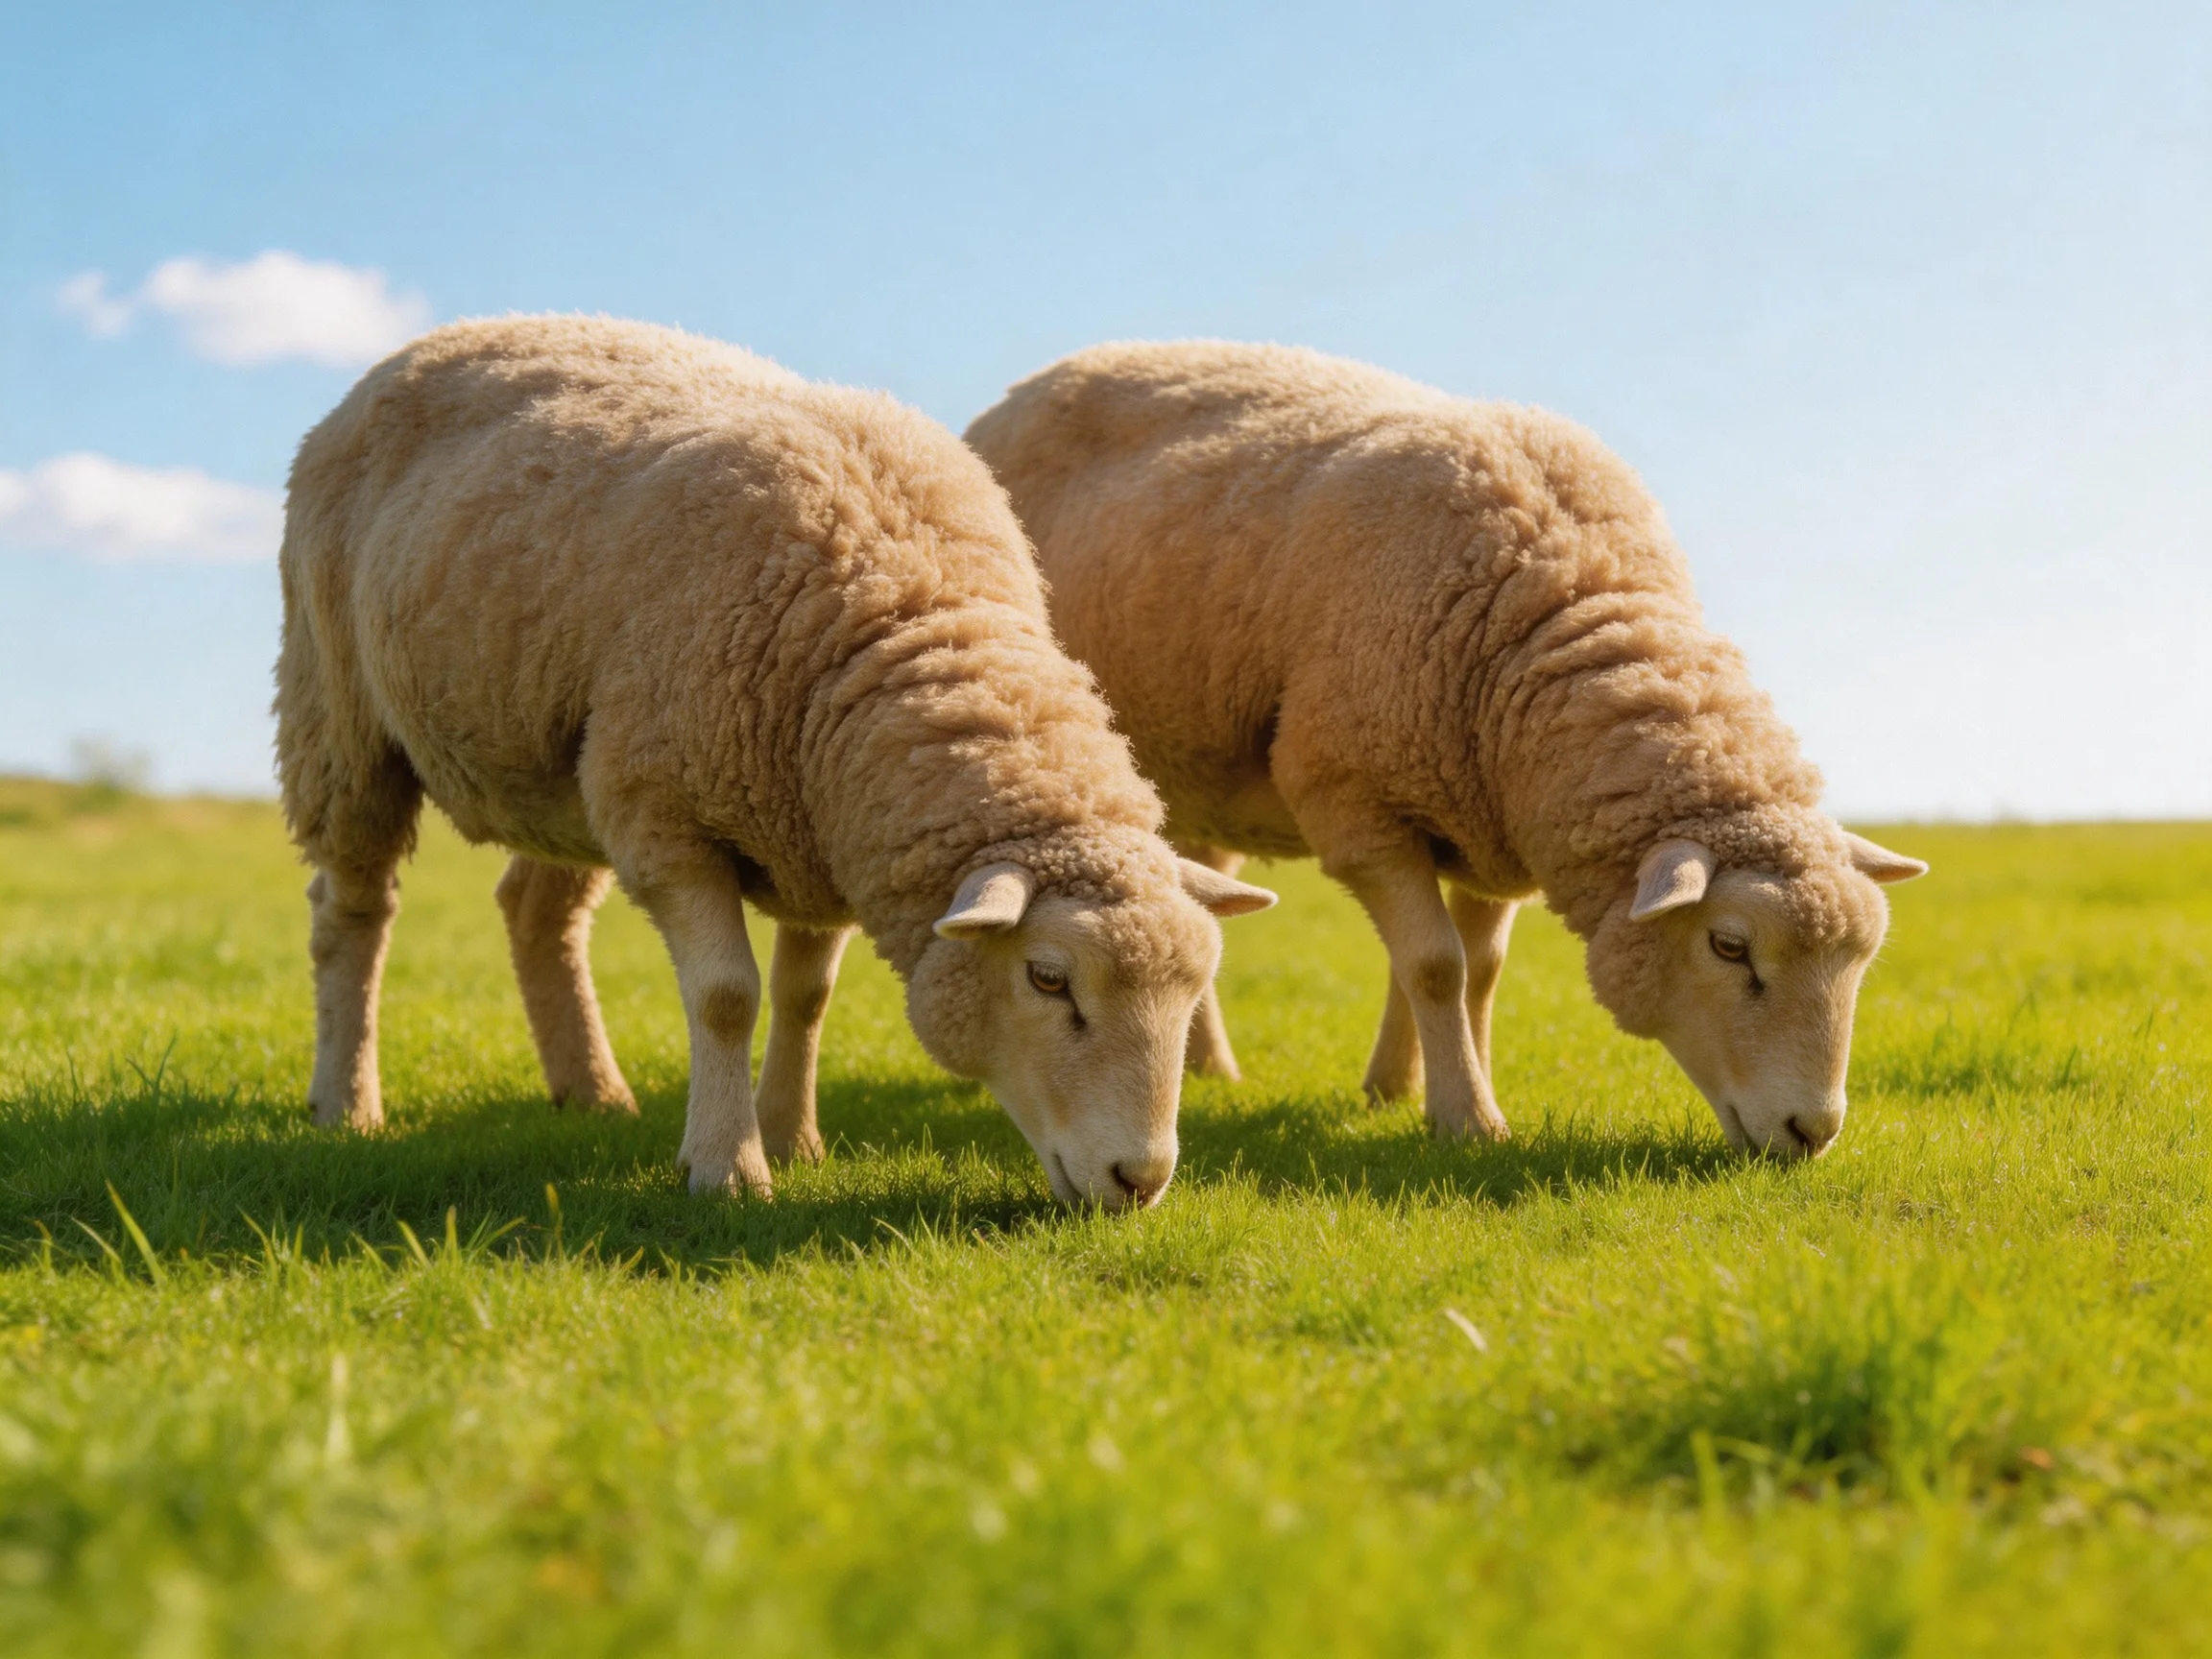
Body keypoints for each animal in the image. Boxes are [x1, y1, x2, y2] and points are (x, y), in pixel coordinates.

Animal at [274, 316, 1274, 1206]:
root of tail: (426, 345)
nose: (1140, 1181)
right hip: (341, 713)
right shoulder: (668, 815)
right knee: (351, 912)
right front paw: (727, 1167)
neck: (903, 619)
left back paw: (591, 1092)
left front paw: (794, 1139)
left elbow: (806, 995)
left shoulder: (822, 831)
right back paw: (347, 1102)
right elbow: (727, 996)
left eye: (1195, 990)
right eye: (1048, 979)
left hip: (566, 768)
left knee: (535, 912)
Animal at [965, 341, 1925, 1158]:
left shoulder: (1489, 821)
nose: (1813, 1132)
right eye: (1730, 947)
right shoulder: (1357, 798)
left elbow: (1481, 972)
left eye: (1861, 960)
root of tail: (1032, 383)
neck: (1561, 611)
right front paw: (1467, 1118)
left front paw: (1409, 1087)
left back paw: (1208, 1067)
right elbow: (1432, 966)